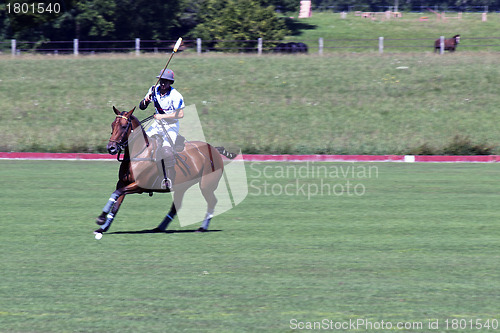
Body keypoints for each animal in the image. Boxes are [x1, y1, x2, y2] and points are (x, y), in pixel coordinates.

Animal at [95, 106, 236, 233]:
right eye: (112, 125)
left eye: (124, 126)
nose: (111, 148)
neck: (139, 153)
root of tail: (214, 149)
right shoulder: (122, 182)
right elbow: (116, 202)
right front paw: (103, 227)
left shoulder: (139, 185)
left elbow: (116, 193)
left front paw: (101, 218)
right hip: (182, 186)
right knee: (176, 206)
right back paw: (160, 227)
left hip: (206, 184)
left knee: (212, 202)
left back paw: (202, 227)